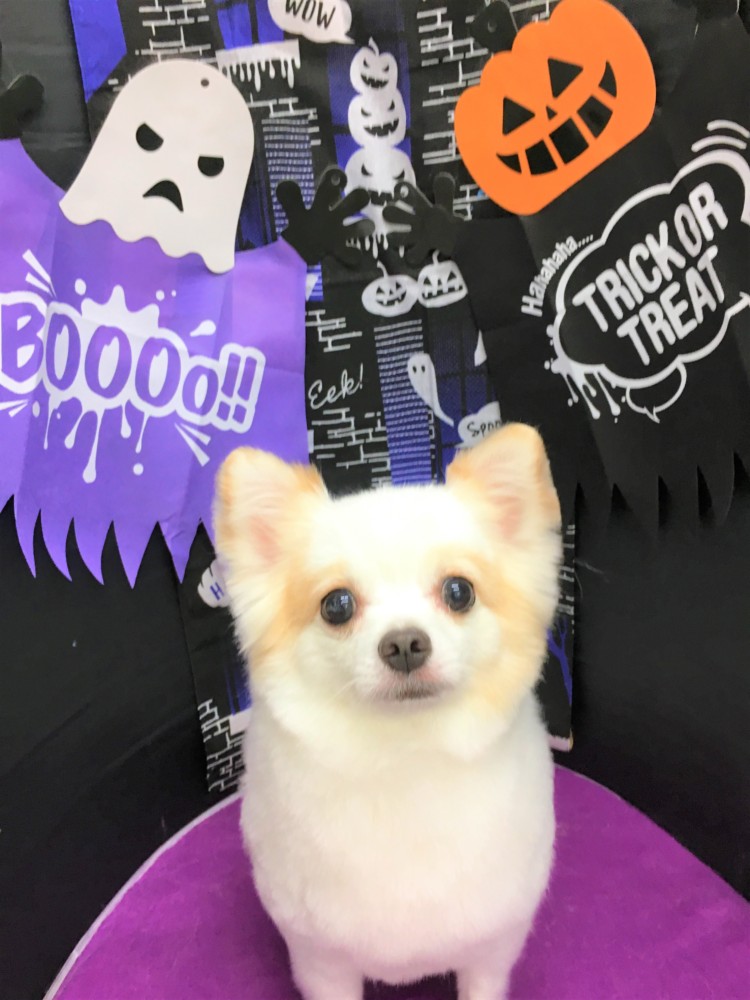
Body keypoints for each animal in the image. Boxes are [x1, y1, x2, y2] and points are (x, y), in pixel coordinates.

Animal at [213, 424, 562, 1000]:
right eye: (337, 605)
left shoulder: (492, 947)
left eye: (458, 591)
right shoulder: (320, 959)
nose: (404, 644)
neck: (404, 756)